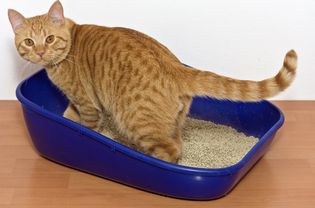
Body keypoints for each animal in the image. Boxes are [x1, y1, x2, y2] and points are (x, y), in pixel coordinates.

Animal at [8, 0, 298, 163]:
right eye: (29, 42)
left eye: (49, 39)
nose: (40, 52)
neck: (69, 47)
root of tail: (175, 66)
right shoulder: (77, 102)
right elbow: (68, 116)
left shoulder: (88, 104)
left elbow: (85, 126)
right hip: (175, 122)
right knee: (178, 145)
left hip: (136, 120)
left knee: (169, 151)